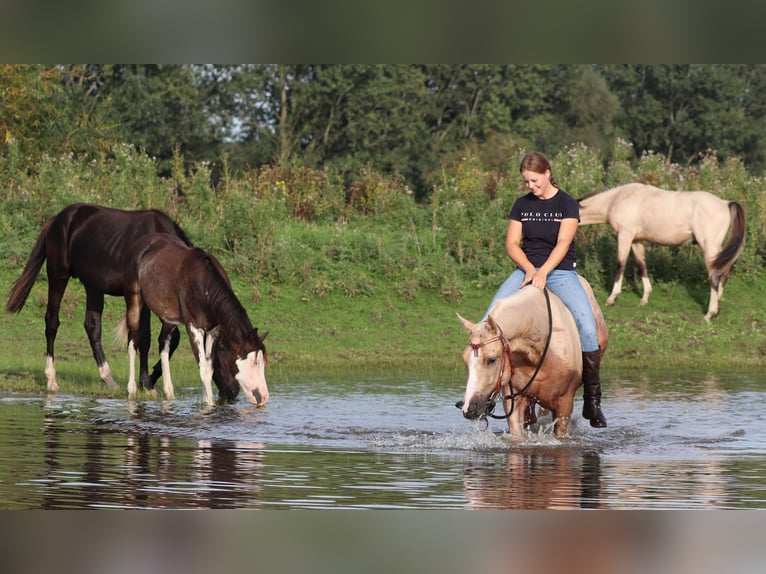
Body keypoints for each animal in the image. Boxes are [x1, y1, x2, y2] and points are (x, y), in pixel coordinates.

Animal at [7, 202, 192, 392]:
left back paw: (108, 377)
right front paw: (146, 383)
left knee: (92, 327)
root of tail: (57, 219)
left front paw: (150, 379)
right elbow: (144, 337)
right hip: (58, 275)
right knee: (52, 322)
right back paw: (51, 379)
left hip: (93, 286)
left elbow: (171, 338)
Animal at [580, 183, 748, 322]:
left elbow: (620, 265)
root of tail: (725, 203)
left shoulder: (625, 236)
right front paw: (645, 298)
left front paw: (612, 298)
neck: (617, 198)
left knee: (715, 275)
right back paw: (717, 306)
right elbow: (642, 265)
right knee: (725, 272)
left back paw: (709, 314)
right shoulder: (636, 241)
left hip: (710, 248)